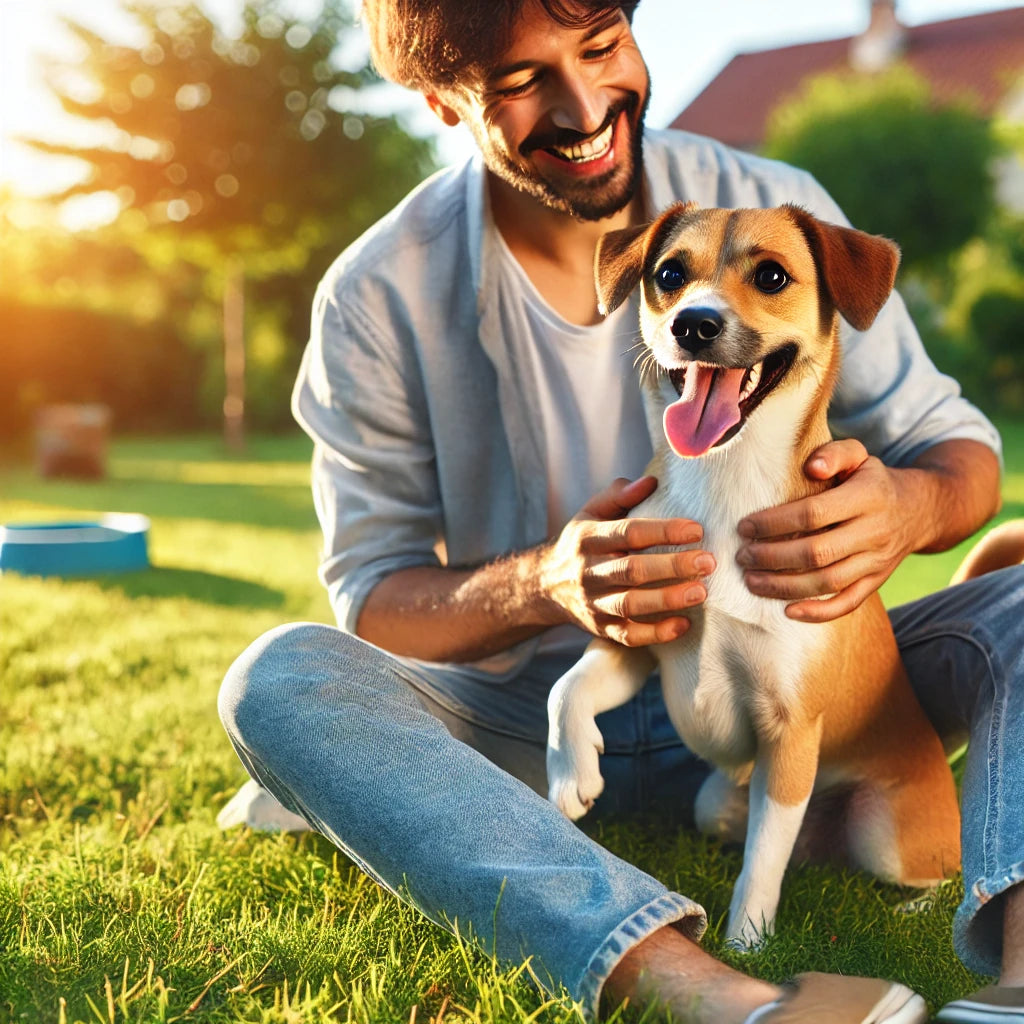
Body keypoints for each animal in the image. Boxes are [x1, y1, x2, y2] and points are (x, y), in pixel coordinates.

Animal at [548, 203, 962, 946]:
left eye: (772, 275)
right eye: (669, 275)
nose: (694, 324)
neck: (725, 478)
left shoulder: (791, 733)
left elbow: (763, 864)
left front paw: (747, 945)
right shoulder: (644, 634)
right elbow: (567, 687)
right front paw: (571, 773)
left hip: (884, 832)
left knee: (935, 877)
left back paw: (916, 916)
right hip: (715, 800)